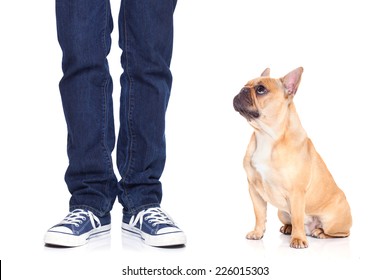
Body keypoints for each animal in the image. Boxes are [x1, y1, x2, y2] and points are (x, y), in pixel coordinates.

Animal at [233, 68, 352, 249]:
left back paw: (319, 232)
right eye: (245, 84)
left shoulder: (296, 192)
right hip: (281, 212)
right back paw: (288, 228)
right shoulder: (254, 190)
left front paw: (298, 239)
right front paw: (258, 232)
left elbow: (297, 216)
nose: (243, 89)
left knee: (341, 233)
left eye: (261, 89)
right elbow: (259, 214)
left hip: (333, 221)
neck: (267, 136)